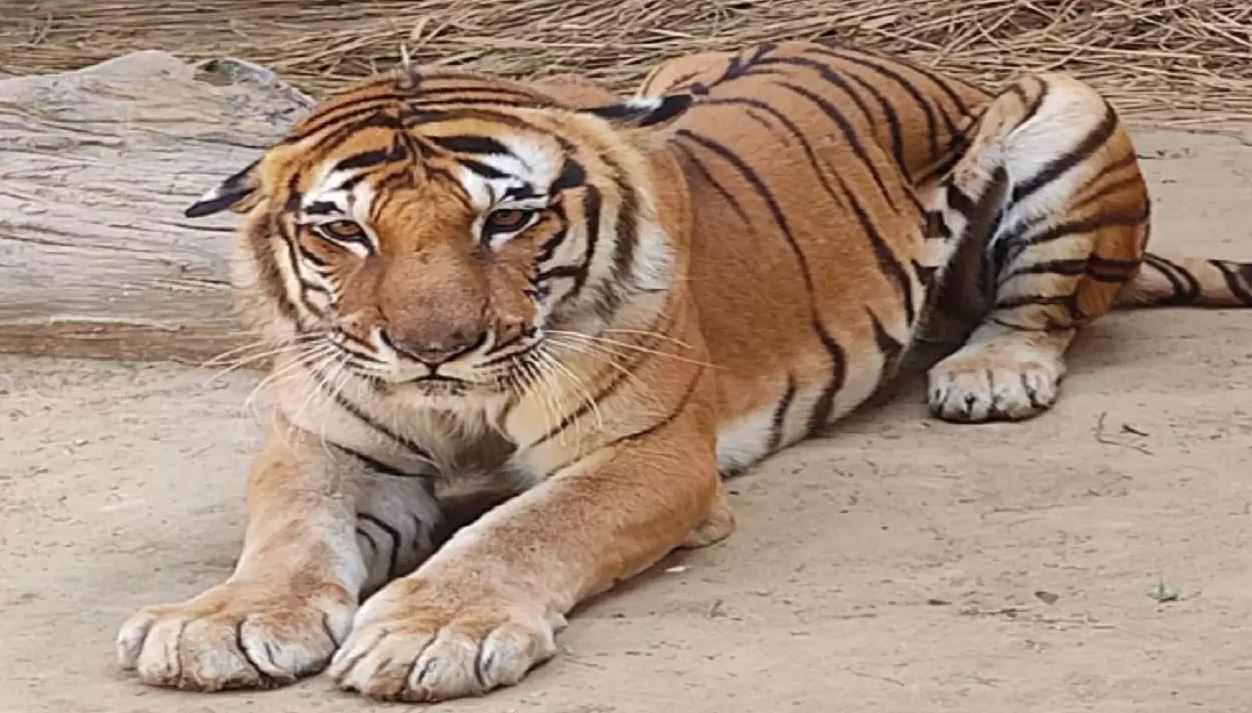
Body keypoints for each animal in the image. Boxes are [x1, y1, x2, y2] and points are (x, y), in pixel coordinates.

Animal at [117, 40, 1252, 701]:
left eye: (508, 220)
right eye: (342, 231)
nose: (435, 349)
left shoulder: (647, 453)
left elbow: (528, 525)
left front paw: (433, 628)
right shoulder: (324, 439)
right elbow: (287, 529)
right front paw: (223, 619)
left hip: (1066, 107)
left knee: (1044, 308)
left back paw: (991, 371)